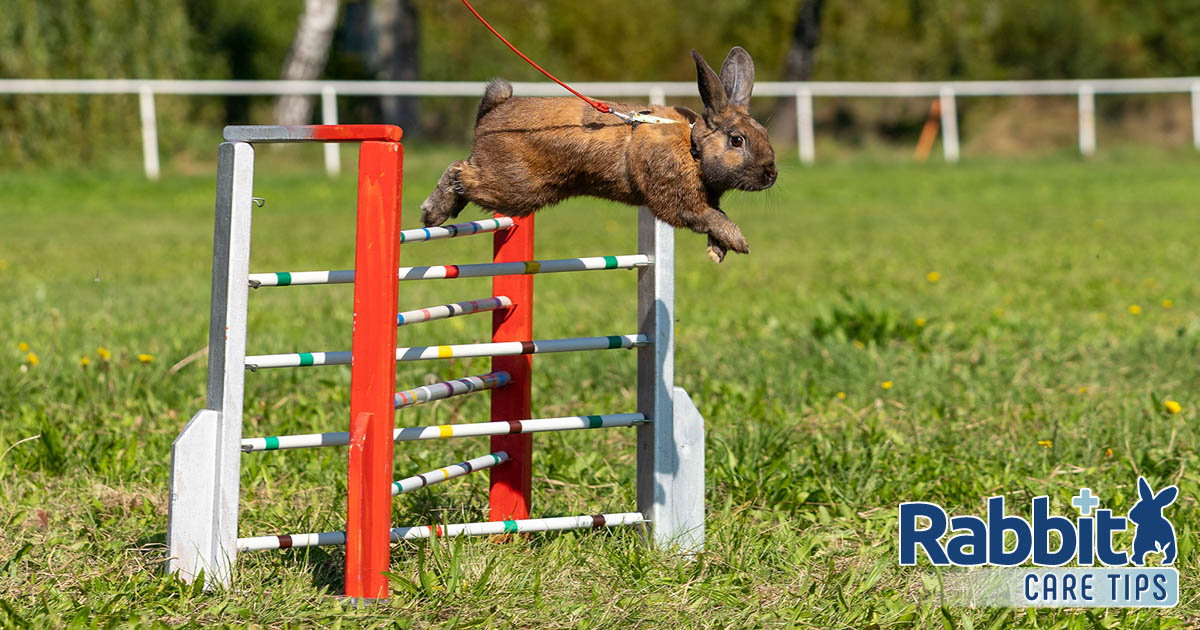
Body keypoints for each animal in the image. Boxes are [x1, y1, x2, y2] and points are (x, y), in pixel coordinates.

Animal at [422, 46, 777, 261]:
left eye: (763, 133)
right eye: (737, 140)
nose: (771, 174)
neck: (694, 149)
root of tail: (493, 112)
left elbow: (717, 217)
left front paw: (718, 251)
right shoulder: (678, 202)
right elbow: (711, 218)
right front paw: (739, 242)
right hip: (514, 188)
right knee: (459, 170)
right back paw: (432, 213)